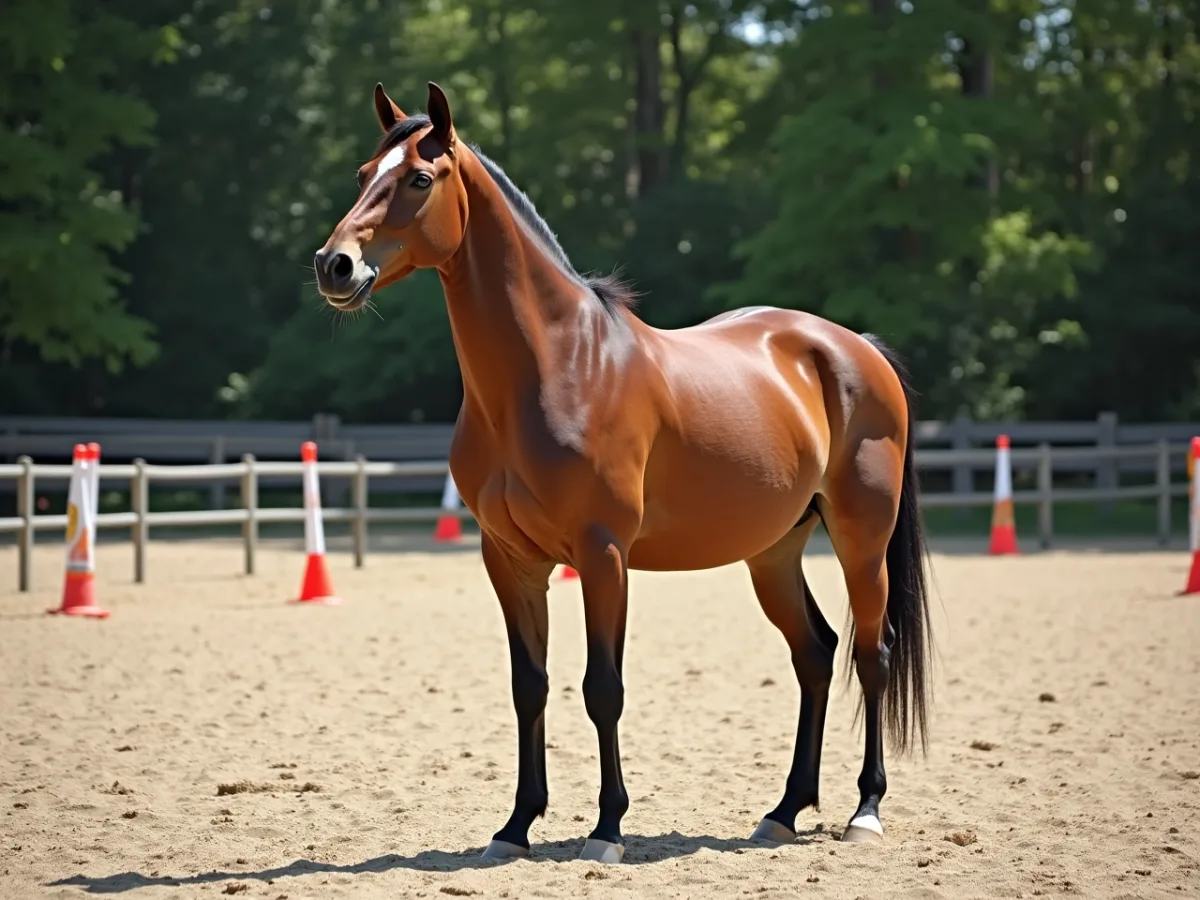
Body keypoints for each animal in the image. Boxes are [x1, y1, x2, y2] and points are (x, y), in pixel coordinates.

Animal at [314, 81, 934, 865]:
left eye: (420, 179)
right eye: (366, 173)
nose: (334, 265)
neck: (556, 367)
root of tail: (856, 349)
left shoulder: (603, 553)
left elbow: (601, 687)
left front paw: (606, 828)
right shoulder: (509, 559)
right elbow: (530, 686)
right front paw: (515, 826)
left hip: (861, 539)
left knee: (871, 654)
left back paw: (865, 811)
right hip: (773, 552)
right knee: (815, 656)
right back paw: (784, 811)